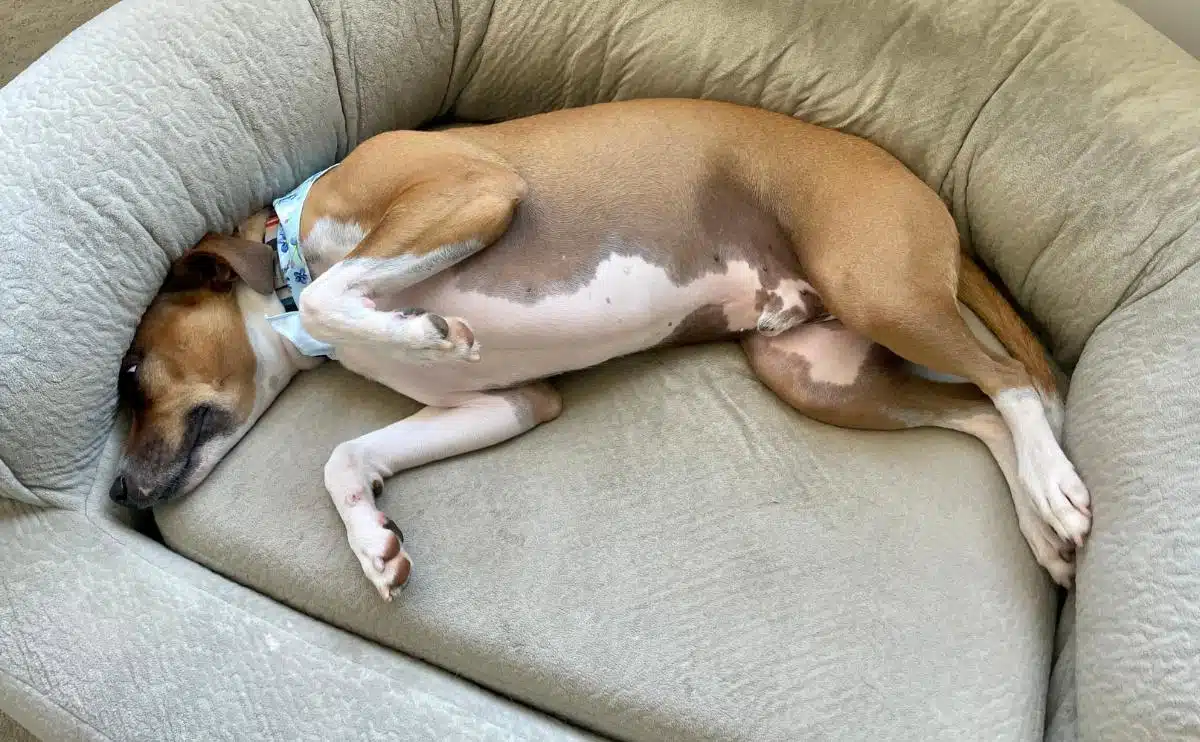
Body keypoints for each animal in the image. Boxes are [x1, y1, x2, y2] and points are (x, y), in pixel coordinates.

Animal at [110, 98, 1089, 597]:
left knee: (1009, 379)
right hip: (815, 373)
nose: (116, 490)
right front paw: (372, 544)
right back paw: (1043, 531)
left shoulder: (473, 189)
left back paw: (1055, 489)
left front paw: (416, 326)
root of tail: (924, 188)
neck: (279, 247)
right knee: (979, 412)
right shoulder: (508, 401)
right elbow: (345, 457)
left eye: (128, 370)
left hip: (875, 287)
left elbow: (331, 293)